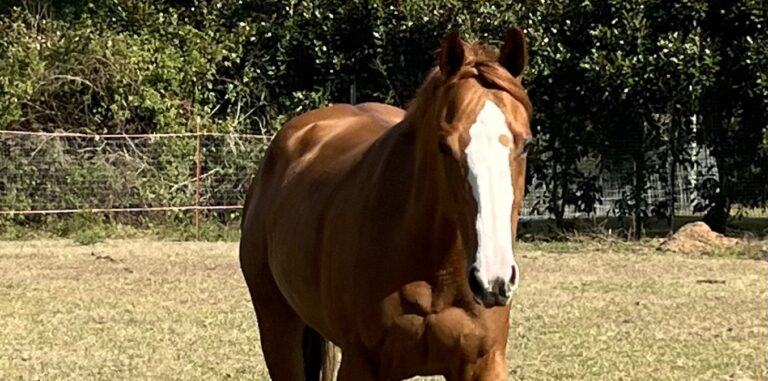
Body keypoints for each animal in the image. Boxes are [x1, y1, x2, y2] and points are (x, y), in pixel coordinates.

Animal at [240, 27, 536, 380]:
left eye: (525, 144)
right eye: (444, 145)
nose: (493, 280)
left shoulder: (483, 364)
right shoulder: (361, 365)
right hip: (278, 330)